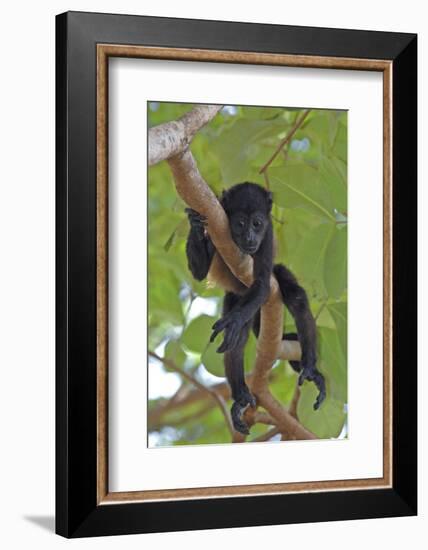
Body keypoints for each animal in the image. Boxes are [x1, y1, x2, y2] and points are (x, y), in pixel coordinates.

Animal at [186, 181, 326, 436]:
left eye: (258, 223)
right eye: (240, 223)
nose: (250, 237)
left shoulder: (268, 235)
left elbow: (261, 284)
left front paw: (232, 321)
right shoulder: (215, 219)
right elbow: (199, 273)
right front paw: (194, 223)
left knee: (296, 298)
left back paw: (310, 368)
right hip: (234, 298)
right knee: (239, 339)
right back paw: (241, 395)